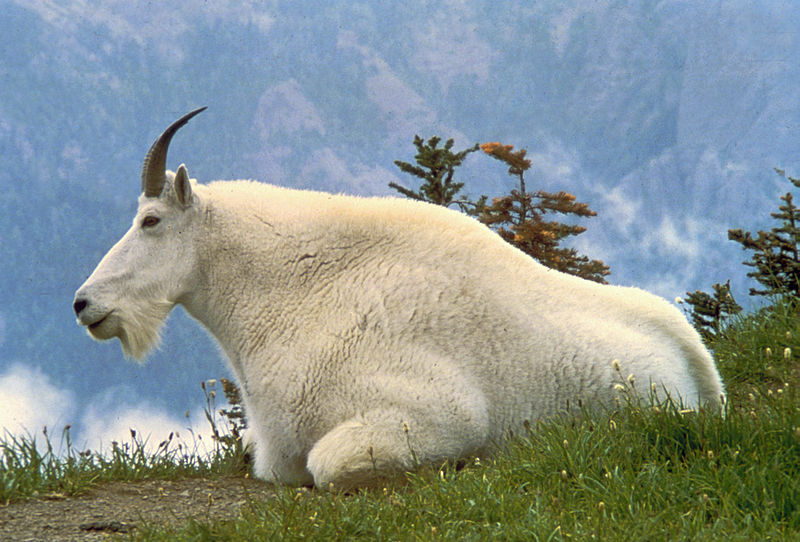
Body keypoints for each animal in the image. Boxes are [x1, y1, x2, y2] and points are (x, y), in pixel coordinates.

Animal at [75, 108, 724, 490]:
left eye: (151, 221)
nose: (84, 304)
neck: (296, 292)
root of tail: (698, 362)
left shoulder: (436, 412)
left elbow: (326, 466)